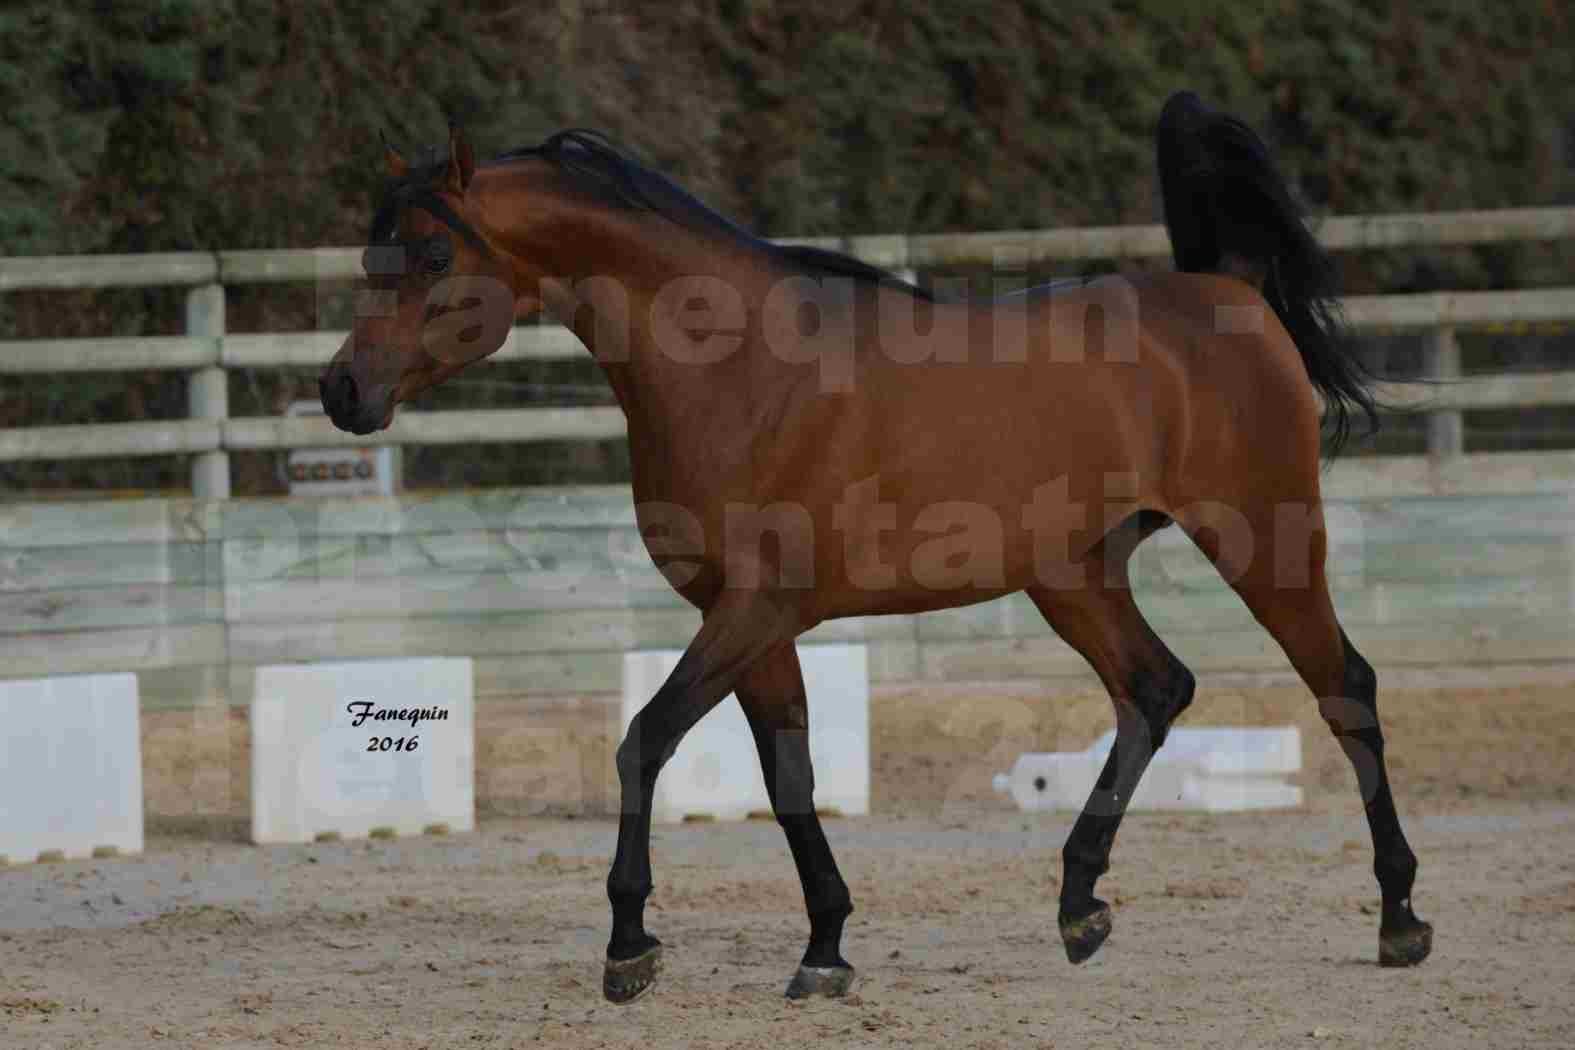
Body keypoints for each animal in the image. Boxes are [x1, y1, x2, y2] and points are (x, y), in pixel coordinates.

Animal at [326, 94, 1436, 1007]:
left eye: (432, 257)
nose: (343, 391)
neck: (739, 371)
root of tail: (1230, 295)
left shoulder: (755, 610)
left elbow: (645, 740)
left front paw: (630, 948)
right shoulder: (747, 622)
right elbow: (788, 777)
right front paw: (824, 950)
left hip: (1263, 540)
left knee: (1345, 688)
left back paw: (1400, 921)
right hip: (1075, 574)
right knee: (1156, 688)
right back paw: (1079, 907)